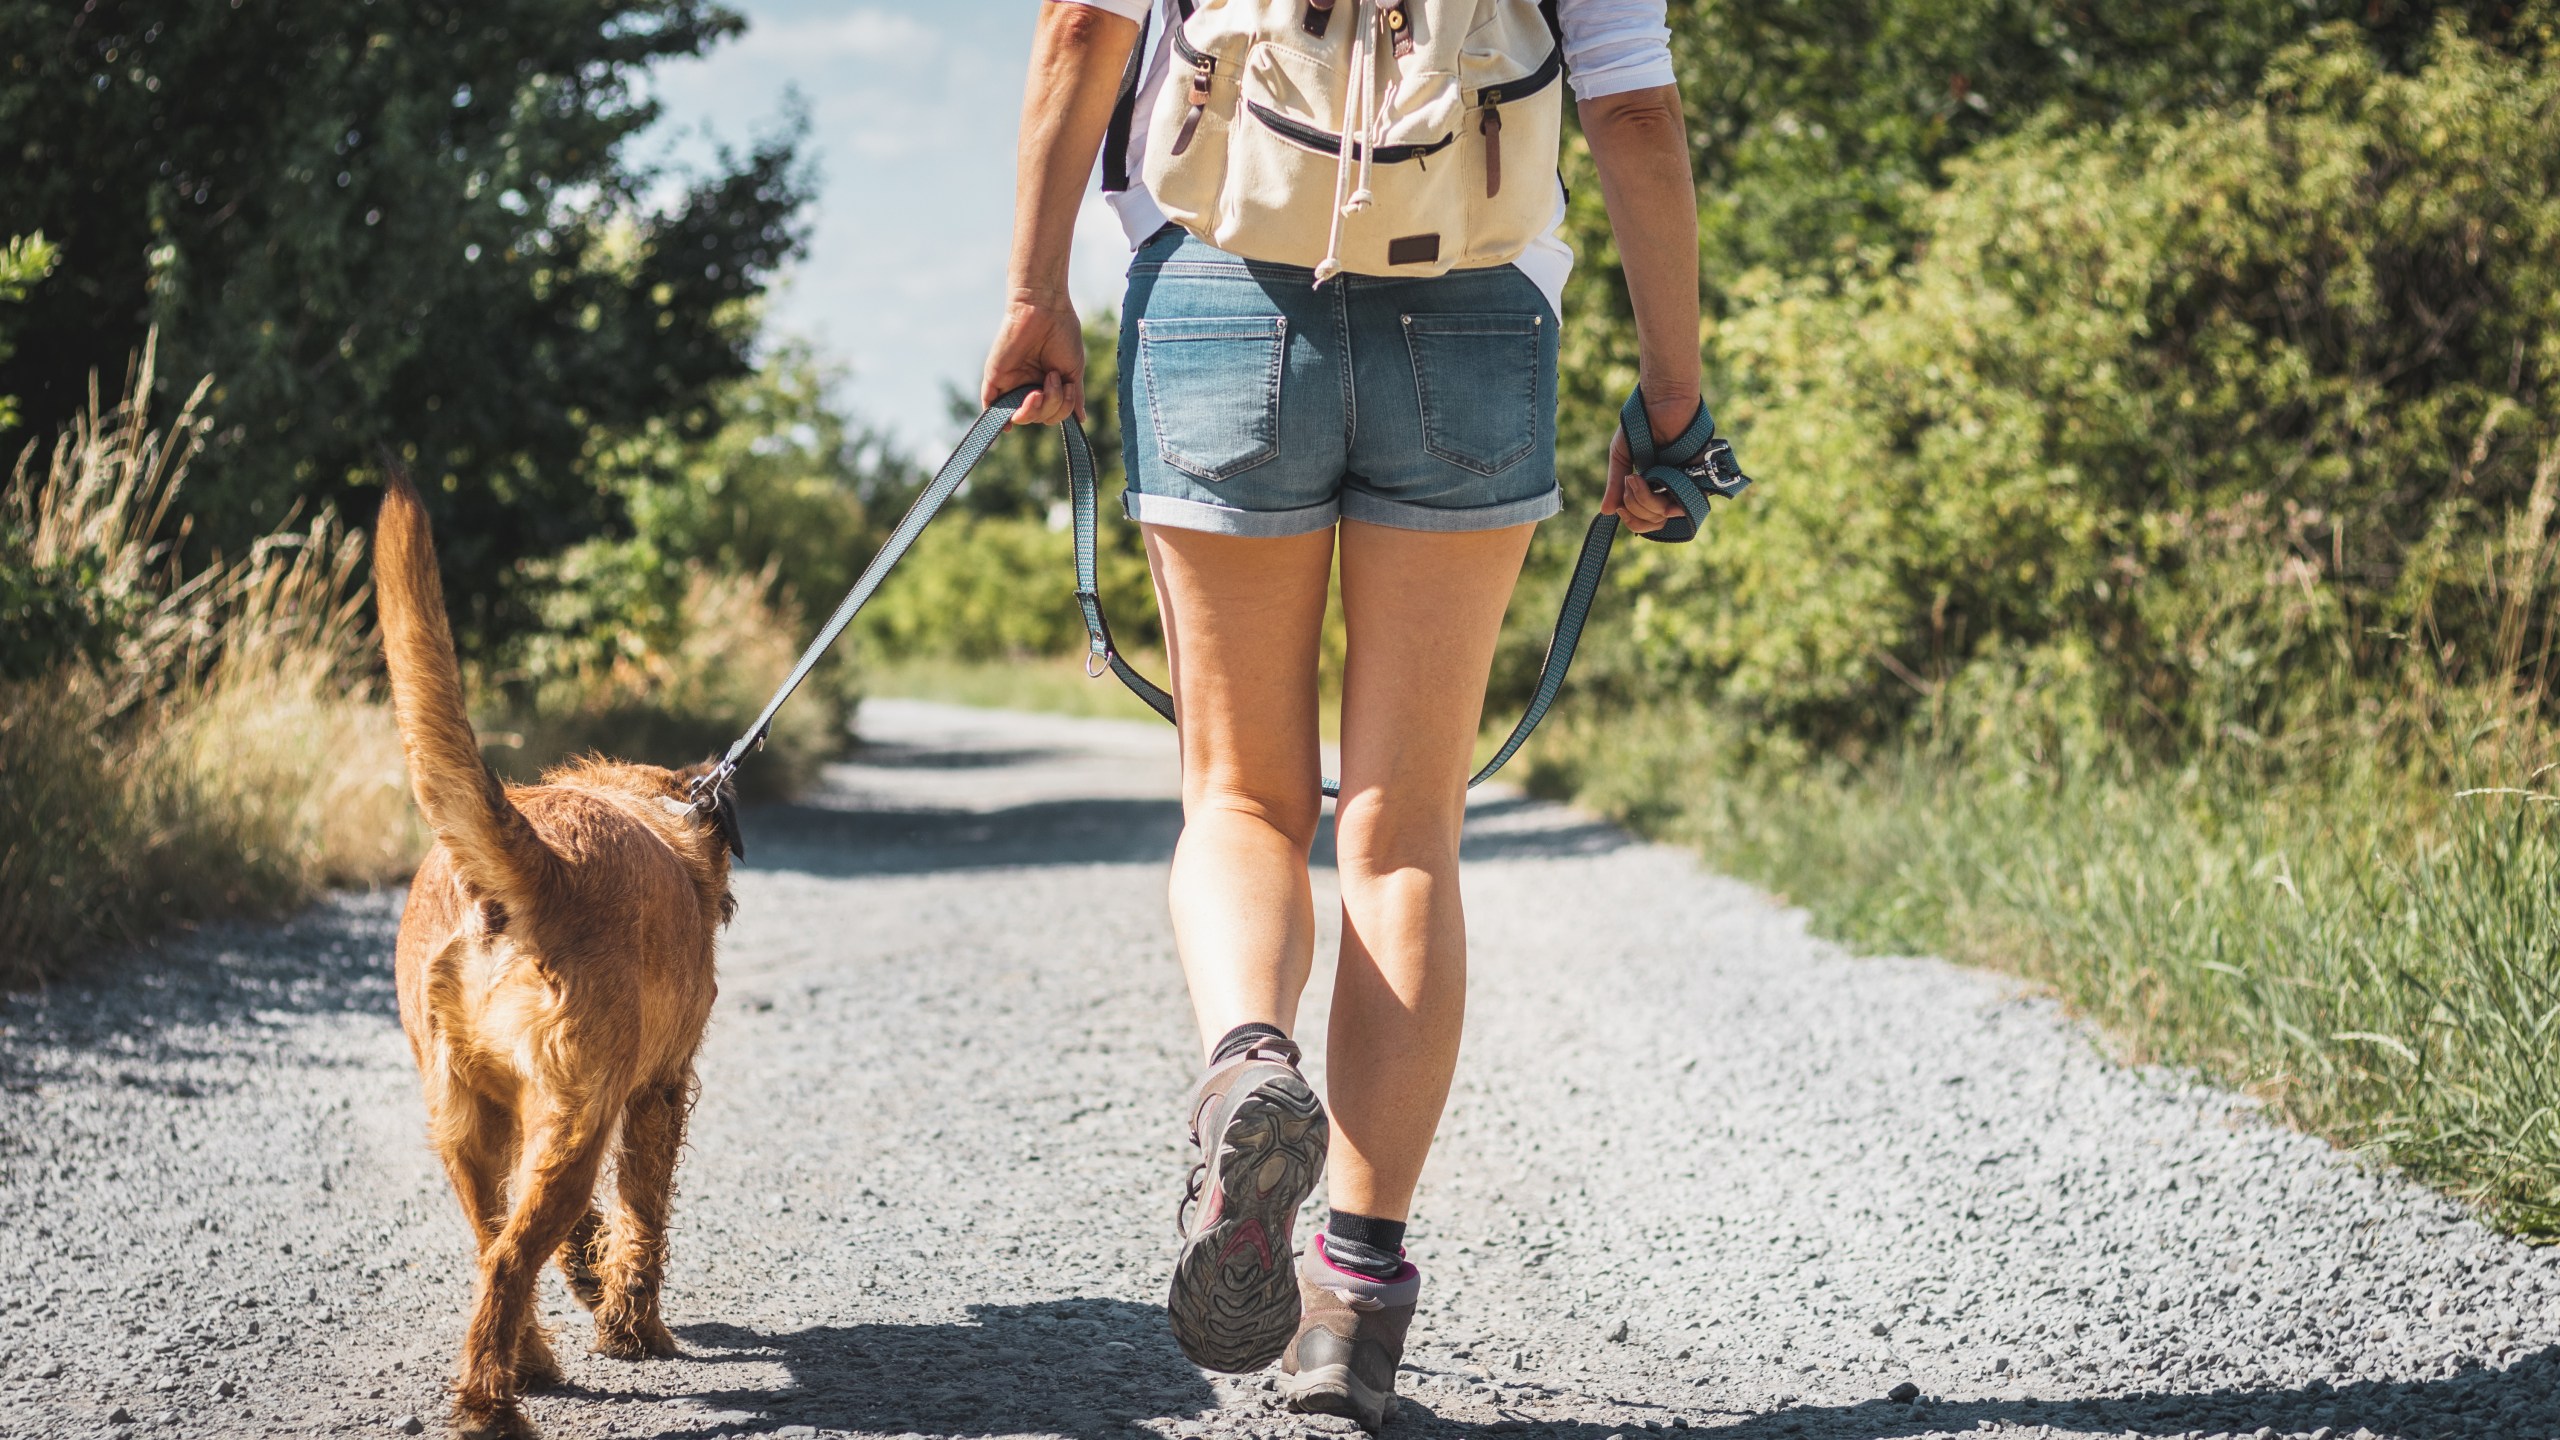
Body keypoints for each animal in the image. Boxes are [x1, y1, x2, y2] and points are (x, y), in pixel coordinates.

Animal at [373, 471, 747, 1434]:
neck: (658, 810)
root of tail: (533, 866)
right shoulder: (656, 1093)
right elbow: (645, 1216)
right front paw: (633, 1328)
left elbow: (580, 1239)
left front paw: (590, 1285)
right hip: (577, 1125)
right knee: (510, 1258)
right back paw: (492, 1404)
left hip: (472, 1125)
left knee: (491, 1245)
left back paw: (527, 1363)